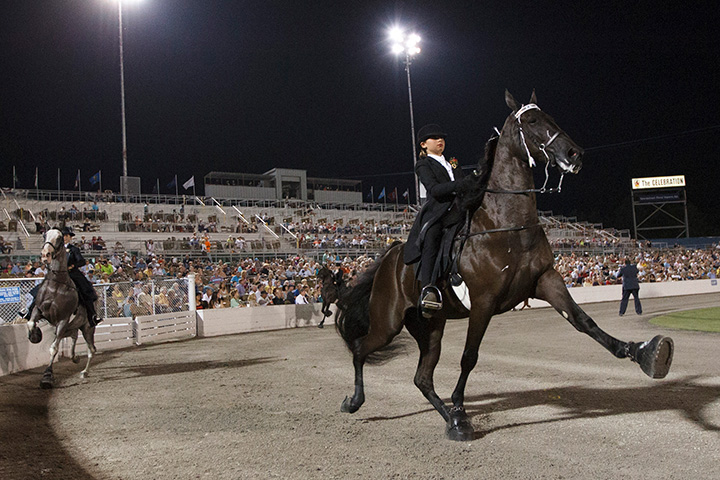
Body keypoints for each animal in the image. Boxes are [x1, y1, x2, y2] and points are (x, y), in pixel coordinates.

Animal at [27, 227, 97, 388]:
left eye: (59, 238)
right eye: (45, 235)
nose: (45, 255)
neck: (56, 286)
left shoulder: (63, 320)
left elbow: (53, 348)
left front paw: (47, 377)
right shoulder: (38, 310)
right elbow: (30, 323)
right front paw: (34, 336)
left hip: (87, 328)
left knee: (91, 350)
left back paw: (84, 372)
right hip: (72, 327)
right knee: (73, 338)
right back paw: (74, 357)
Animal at [335, 91, 674, 441]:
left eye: (550, 116)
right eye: (532, 120)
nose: (574, 154)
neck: (507, 225)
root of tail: (389, 257)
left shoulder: (546, 280)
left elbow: (584, 322)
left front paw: (645, 353)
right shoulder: (484, 301)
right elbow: (469, 357)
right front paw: (460, 410)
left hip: (430, 327)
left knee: (422, 378)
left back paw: (449, 421)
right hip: (388, 323)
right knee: (361, 348)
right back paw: (357, 402)